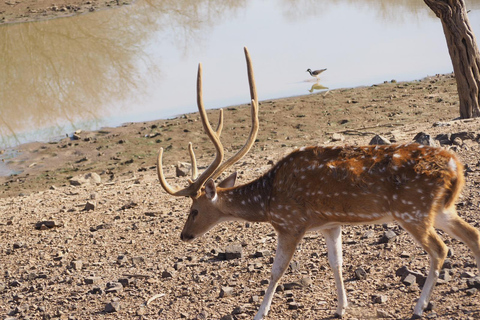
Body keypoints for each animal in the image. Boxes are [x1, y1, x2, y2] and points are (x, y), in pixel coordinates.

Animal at [157, 48, 480, 320]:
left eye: (194, 210)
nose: (184, 235)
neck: (267, 200)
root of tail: (456, 167)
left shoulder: (290, 223)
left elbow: (276, 271)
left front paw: (260, 313)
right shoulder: (330, 224)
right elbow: (336, 262)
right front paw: (340, 307)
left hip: (412, 210)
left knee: (440, 249)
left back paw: (418, 308)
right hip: (442, 209)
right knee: (473, 235)